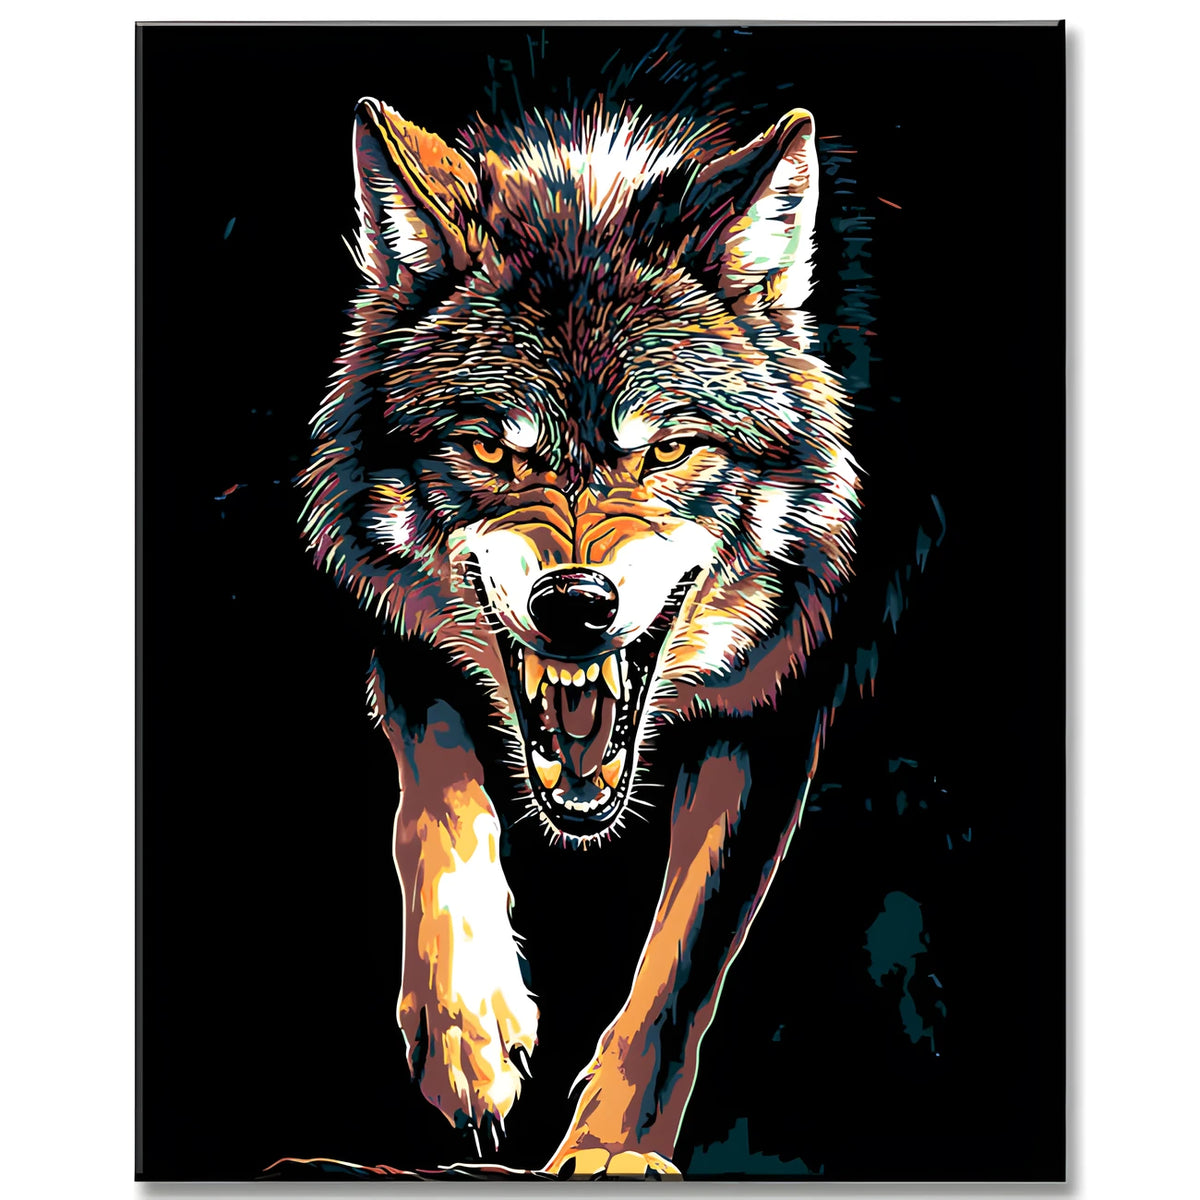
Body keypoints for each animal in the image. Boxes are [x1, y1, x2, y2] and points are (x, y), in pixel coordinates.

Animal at [299, 94, 859, 1177]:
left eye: (670, 449)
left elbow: (682, 966)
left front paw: (612, 1150)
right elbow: (434, 799)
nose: (575, 604)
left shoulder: (782, 693)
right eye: (487, 448)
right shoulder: (398, 631)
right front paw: (469, 1034)